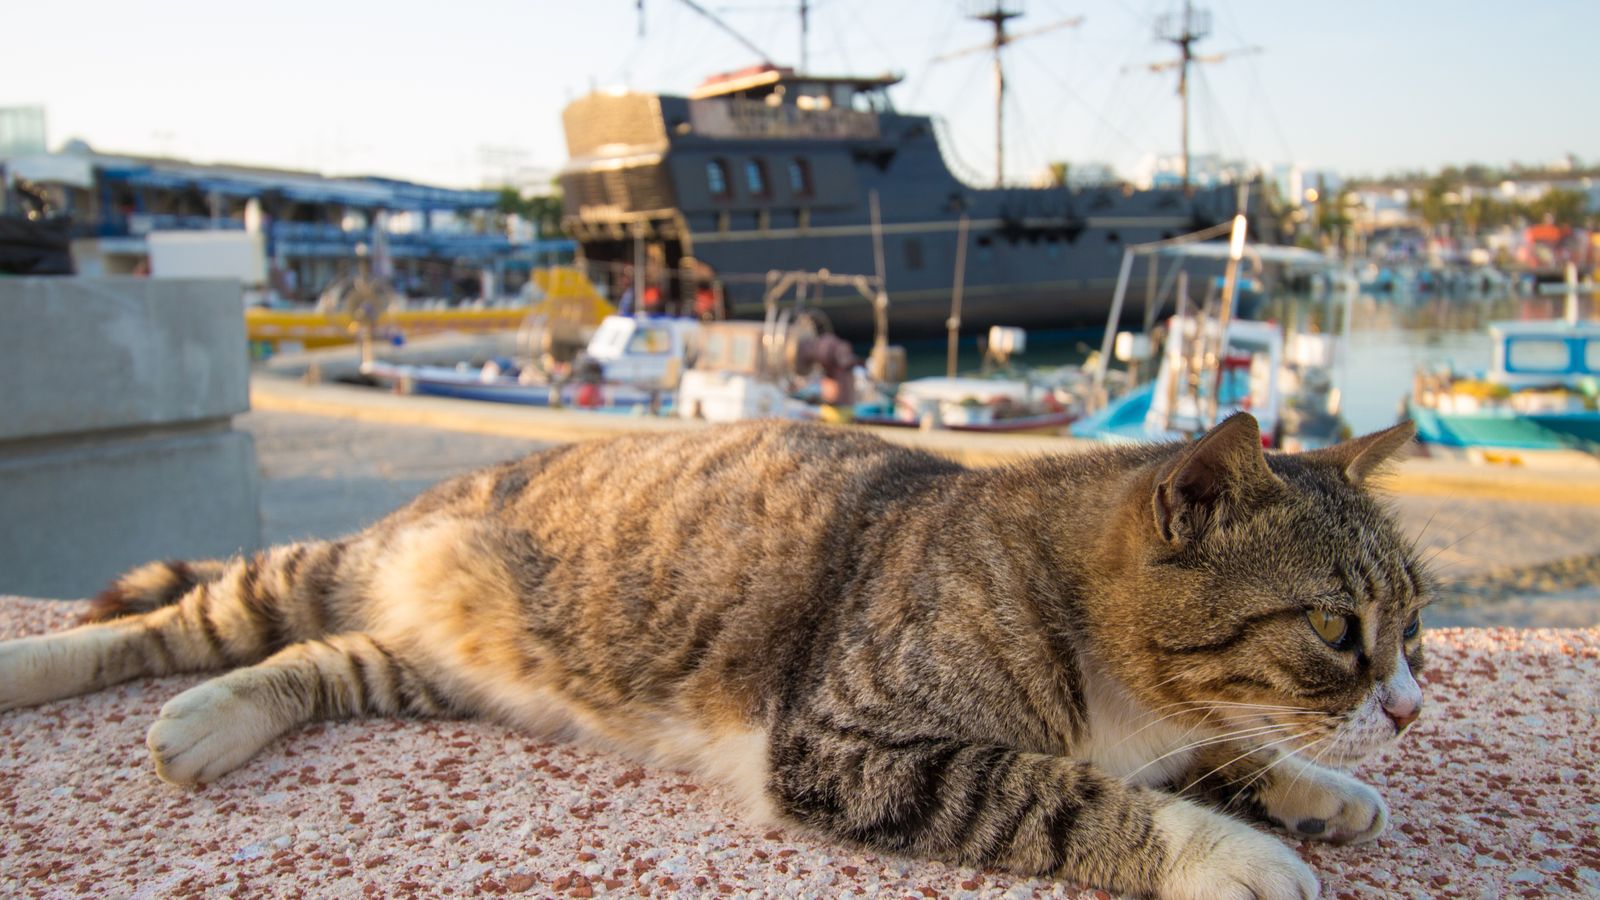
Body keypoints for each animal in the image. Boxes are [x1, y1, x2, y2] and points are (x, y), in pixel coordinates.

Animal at [0, 413, 1427, 896]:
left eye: (1416, 624)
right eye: (1335, 628)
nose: (1411, 707)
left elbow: (1229, 751)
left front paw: (1320, 788)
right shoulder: (851, 746)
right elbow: (1067, 794)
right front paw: (1233, 852)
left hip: (432, 664)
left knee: (322, 665)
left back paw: (215, 722)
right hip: (322, 571)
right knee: (190, 618)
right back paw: (54, 674)